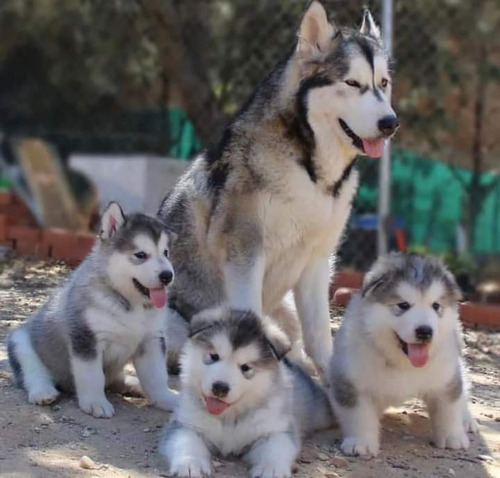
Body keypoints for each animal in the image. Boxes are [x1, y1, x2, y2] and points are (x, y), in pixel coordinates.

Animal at [7, 202, 178, 418]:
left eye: (166, 253)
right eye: (140, 255)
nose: (167, 275)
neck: (130, 303)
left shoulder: (152, 339)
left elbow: (157, 375)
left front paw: (166, 398)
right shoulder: (85, 338)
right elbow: (92, 375)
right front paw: (96, 403)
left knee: (115, 380)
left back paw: (134, 385)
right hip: (20, 342)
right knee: (33, 373)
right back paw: (43, 391)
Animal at [157, 2, 398, 378]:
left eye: (383, 83)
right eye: (352, 83)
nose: (391, 123)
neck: (311, 171)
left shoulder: (318, 261)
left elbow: (320, 335)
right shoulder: (245, 252)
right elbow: (248, 319)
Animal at [160, 308, 332, 476]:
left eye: (246, 367)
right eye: (214, 356)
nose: (220, 387)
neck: (229, 417)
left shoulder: (276, 430)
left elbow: (276, 449)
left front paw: (271, 468)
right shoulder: (186, 425)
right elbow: (185, 442)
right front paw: (189, 463)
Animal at [328, 252, 476, 458]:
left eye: (436, 305)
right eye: (403, 305)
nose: (425, 332)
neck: (404, 363)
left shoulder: (445, 377)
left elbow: (449, 407)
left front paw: (452, 437)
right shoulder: (350, 380)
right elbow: (359, 415)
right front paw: (361, 442)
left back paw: (467, 419)